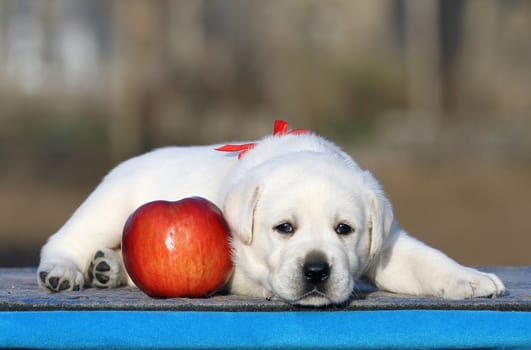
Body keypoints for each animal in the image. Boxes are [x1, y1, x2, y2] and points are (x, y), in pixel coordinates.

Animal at [38, 121, 508, 304]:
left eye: (345, 229)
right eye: (284, 228)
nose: (316, 271)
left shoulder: (387, 245)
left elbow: (425, 261)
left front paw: (470, 279)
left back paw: (108, 267)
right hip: (109, 204)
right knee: (66, 239)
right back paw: (63, 271)